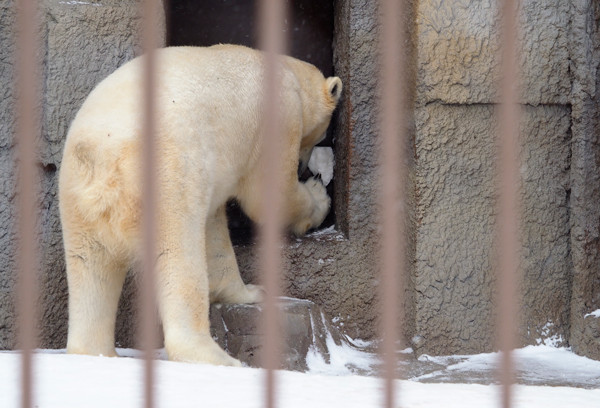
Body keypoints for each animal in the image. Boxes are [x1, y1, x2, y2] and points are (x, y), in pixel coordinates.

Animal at [59, 44, 342, 366]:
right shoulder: (280, 113)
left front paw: (250, 292)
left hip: (77, 196)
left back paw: (94, 352)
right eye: (322, 134)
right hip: (166, 184)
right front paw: (319, 197)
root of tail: (107, 165)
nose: (305, 167)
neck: (288, 73)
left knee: (90, 269)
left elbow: (214, 229)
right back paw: (218, 358)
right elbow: (268, 195)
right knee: (180, 262)